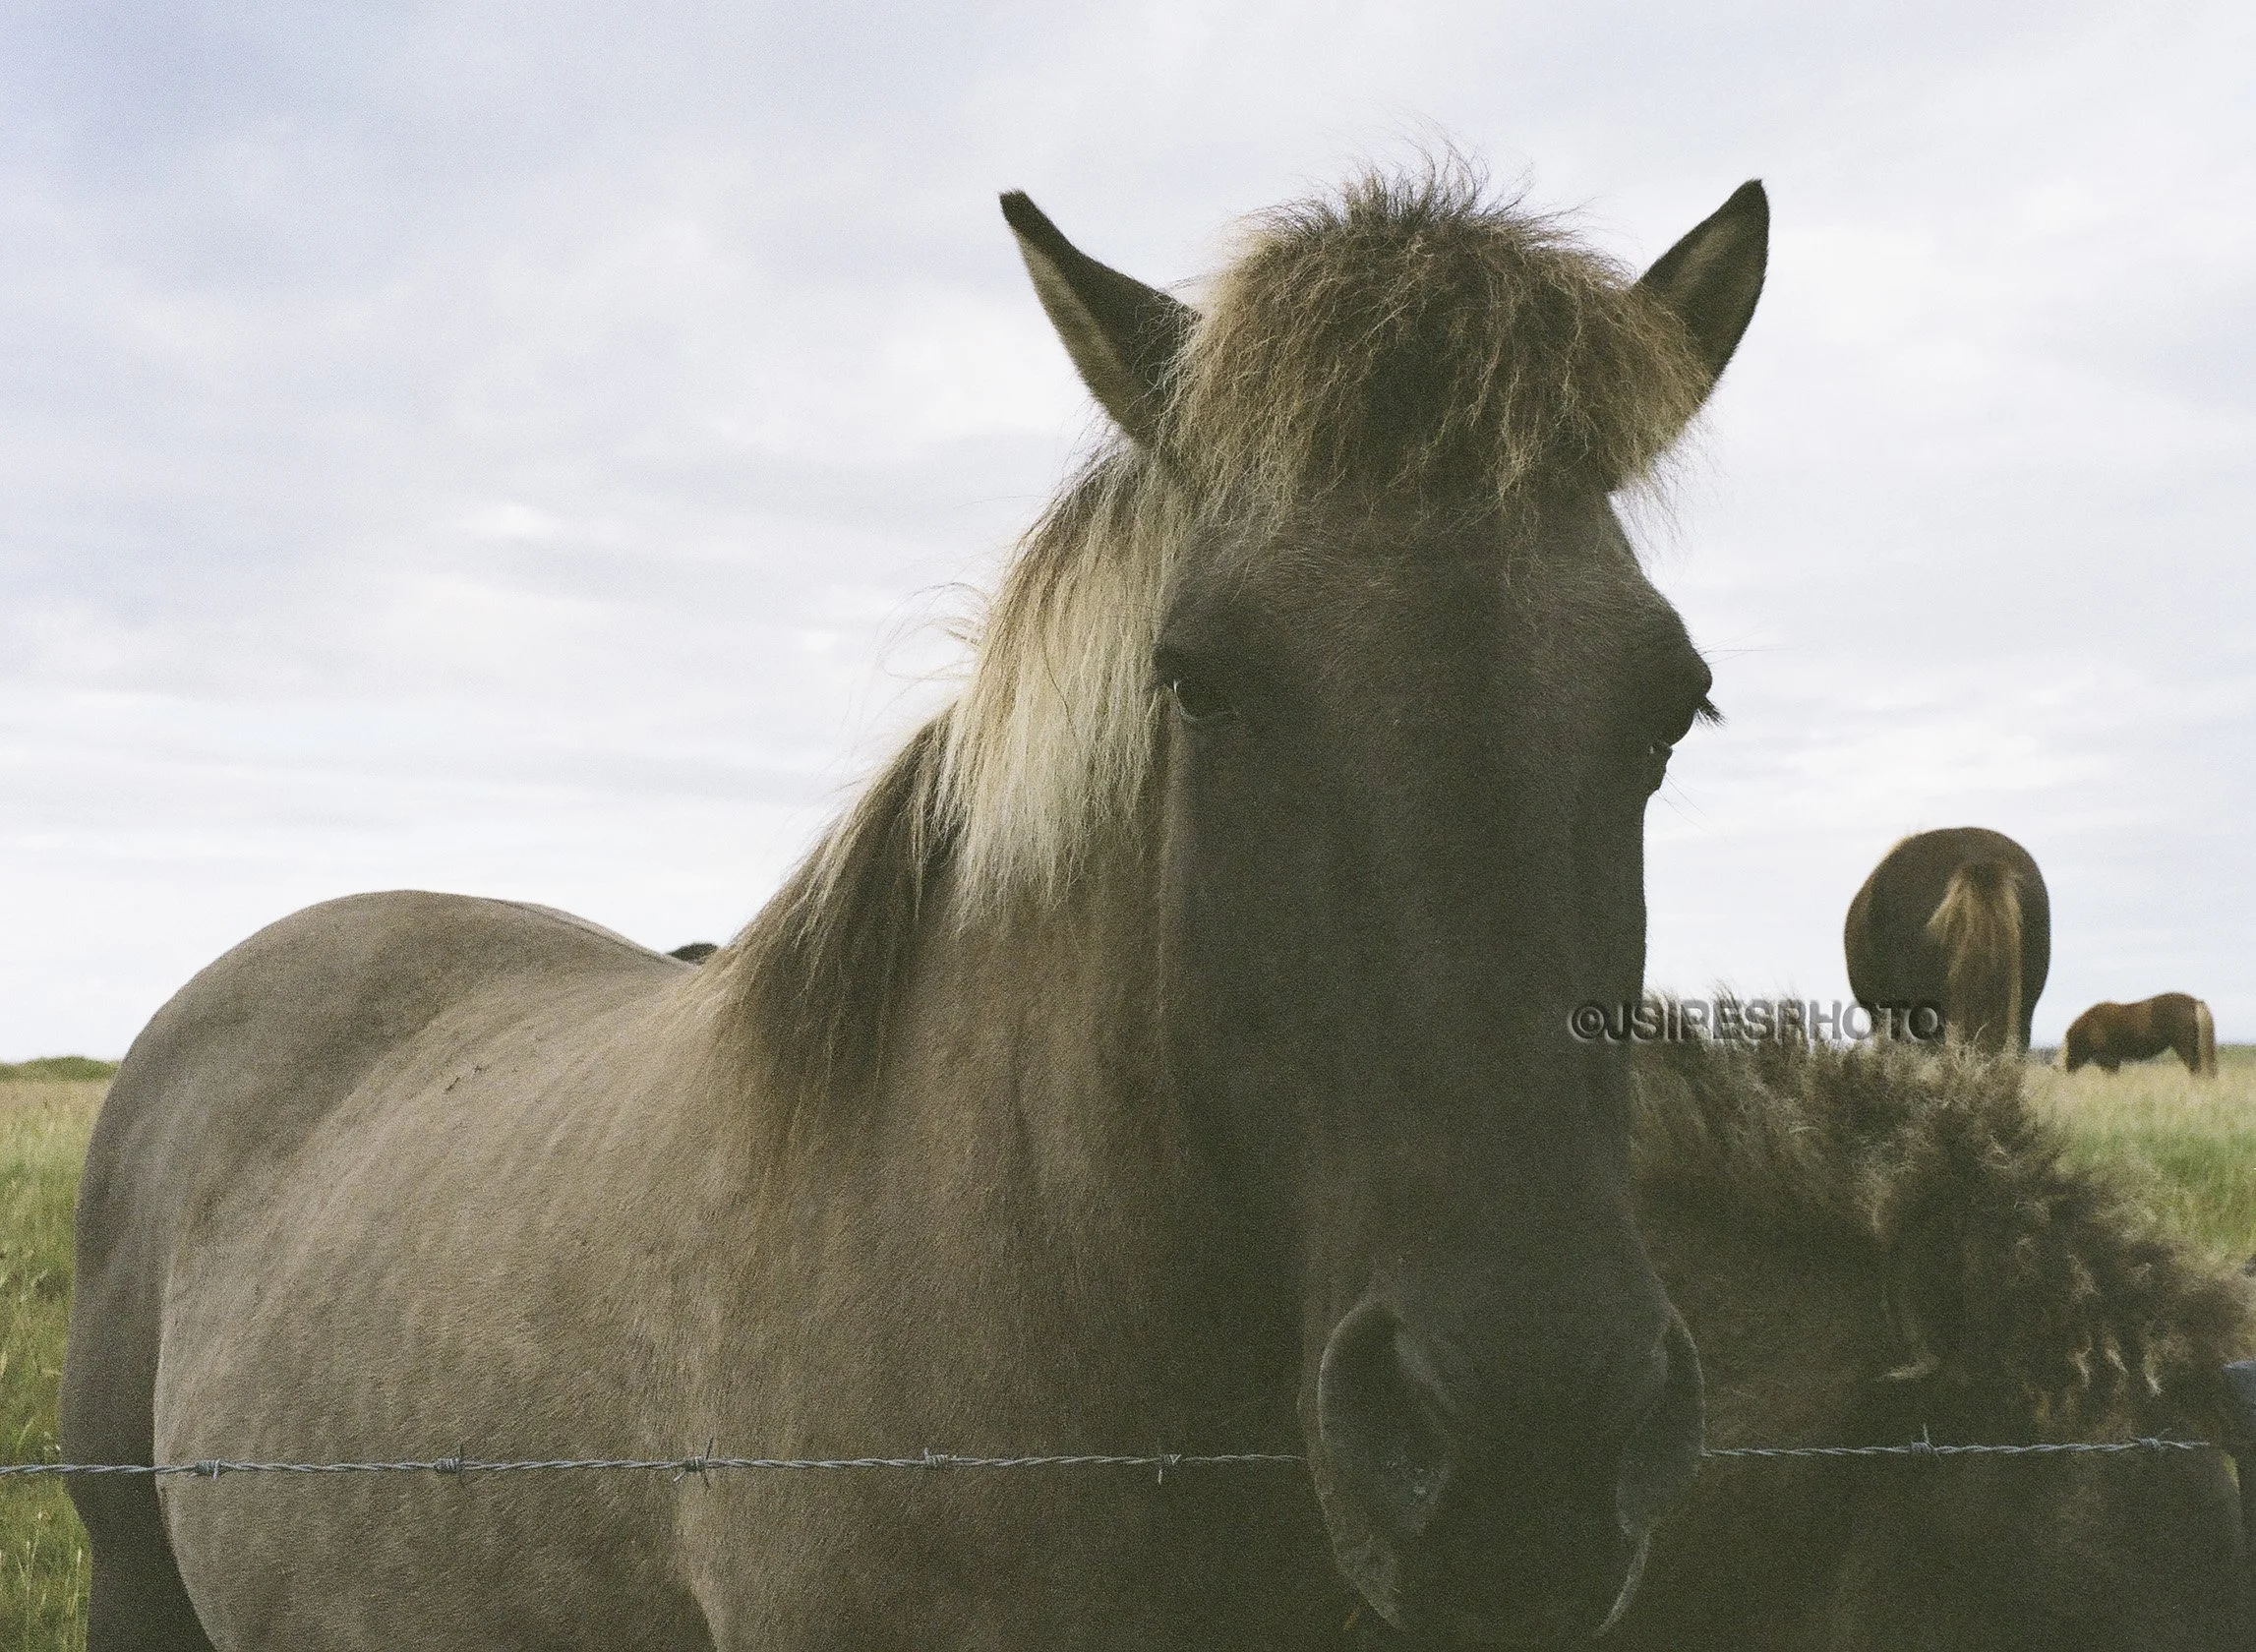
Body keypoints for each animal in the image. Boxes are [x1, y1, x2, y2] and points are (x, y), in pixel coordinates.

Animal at [2064, 993, 2219, 1077]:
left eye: (2070, 1045)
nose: (2068, 1069)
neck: (2089, 1026)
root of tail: (2195, 1003)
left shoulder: (2109, 1059)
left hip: (2185, 1047)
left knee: (2196, 1069)